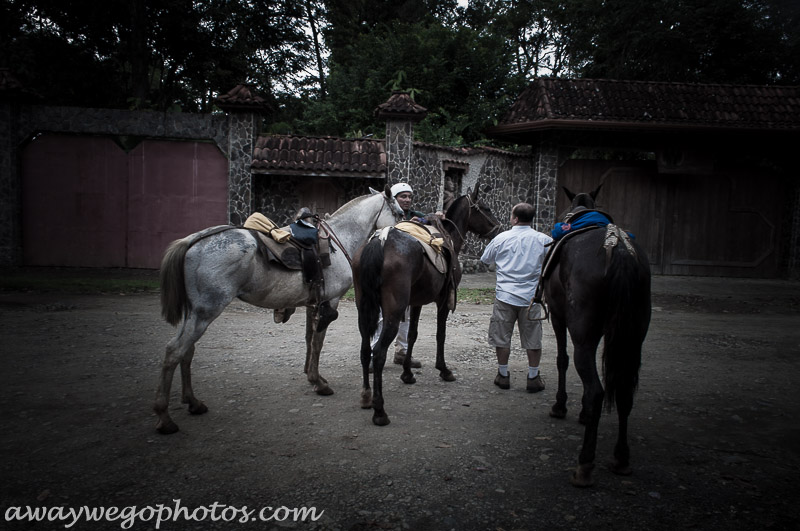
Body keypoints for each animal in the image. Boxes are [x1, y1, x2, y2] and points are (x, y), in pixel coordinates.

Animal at [155, 189, 404, 434]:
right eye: (400, 213)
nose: (402, 236)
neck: (341, 237)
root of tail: (192, 241)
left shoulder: (313, 304)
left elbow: (310, 339)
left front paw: (312, 376)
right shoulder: (329, 303)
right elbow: (318, 342)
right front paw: (318, 382)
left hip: (194, 313)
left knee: (187, 351)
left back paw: (193, 402)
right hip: (205, 311)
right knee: (175, 351)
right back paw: (165, 418)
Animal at [354, 189, 500, 426]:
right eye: (486, 208)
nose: (499, 228)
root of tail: (381, 240)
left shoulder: (416, 303)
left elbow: (412, 335)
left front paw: (407, 374)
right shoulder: (443, 301)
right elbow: (441, 335)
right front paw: (444, 369)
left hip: (364, 310)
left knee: (366, 349)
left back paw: (366, 396)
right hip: (392, 313)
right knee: (379, 353)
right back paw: (379, 410)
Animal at [544, 185, 648, 488]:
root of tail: (618, 249)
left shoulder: (559, 317)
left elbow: (562, 360)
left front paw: (561, 406)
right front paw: (581, 413)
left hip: (582, 331)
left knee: (596, 390)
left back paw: (585, 463)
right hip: (633, 334)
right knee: (624, 389)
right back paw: (621, 458)